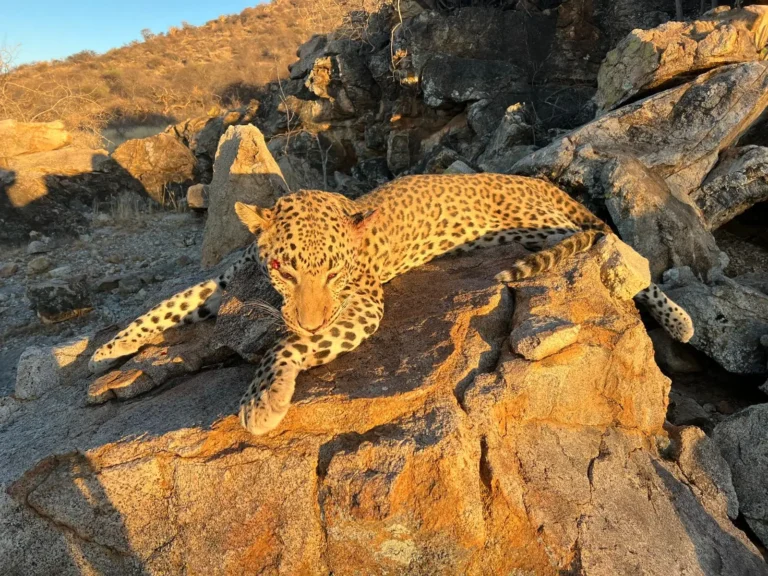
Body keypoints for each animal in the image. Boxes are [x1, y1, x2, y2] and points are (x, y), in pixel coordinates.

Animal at [89, 173, 694, 435]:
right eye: (284, 268)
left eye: (333, 272)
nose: (312, 317)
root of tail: (543, 182)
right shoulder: (227, 278)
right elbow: (168, 305)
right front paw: (109, 350)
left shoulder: (358, 307)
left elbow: (286, 344)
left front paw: (262, 402)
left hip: (549, 221)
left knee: (618, 247)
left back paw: (681, 319)